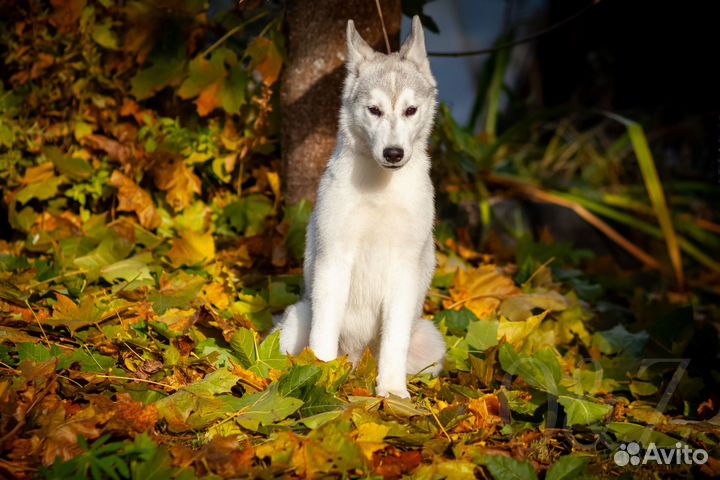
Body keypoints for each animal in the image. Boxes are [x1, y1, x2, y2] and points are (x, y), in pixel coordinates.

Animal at [276, 15, 444, 398]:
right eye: (374, 110)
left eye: (410, 110)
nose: (393, 153)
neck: (379, 190)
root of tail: (354, 364)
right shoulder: (334, 260)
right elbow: (323, 335)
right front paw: (320, 379)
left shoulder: (405, 268)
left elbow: (393, 343)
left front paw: (393, 394)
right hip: (296, 319)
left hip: (430, 340)